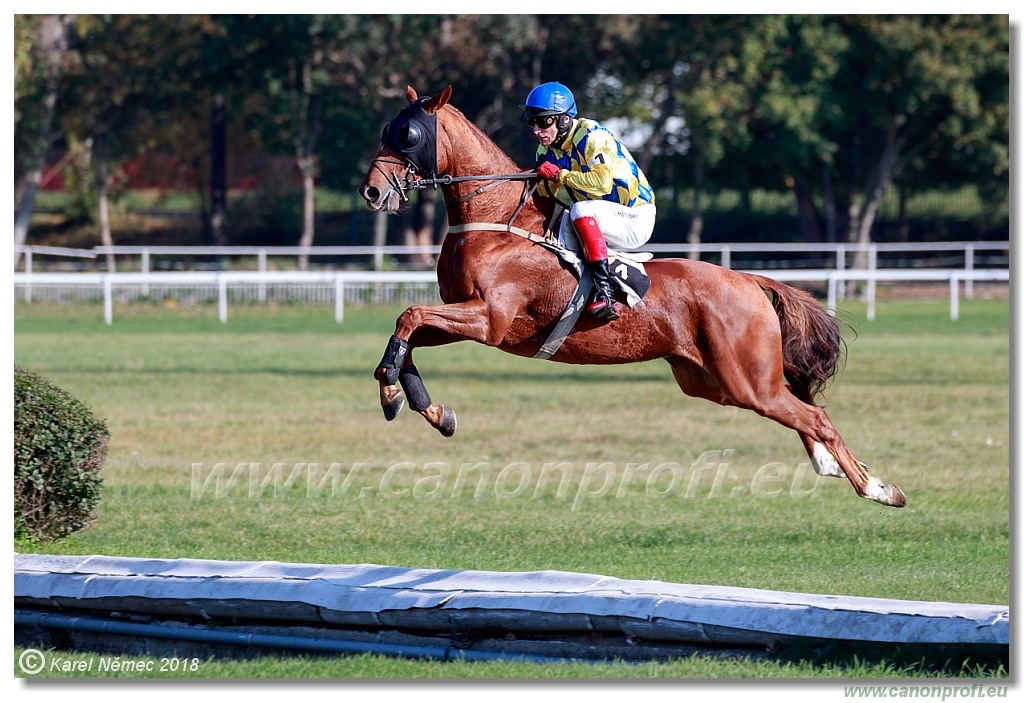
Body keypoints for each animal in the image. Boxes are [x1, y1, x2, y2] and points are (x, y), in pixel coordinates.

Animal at [358, 85, 905, 509]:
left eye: (407, 135)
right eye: (385, 130)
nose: (371, 193)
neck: (494, 220)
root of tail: (749, 281)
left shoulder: (487, 320)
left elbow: (408, 316)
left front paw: (396, 396)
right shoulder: (467, 321)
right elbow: (407, 332)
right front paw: (424, 406)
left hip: (747, 381)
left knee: (815, 415)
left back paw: (878, 489)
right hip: (714, 382)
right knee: (799, 409)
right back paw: (834, 467)